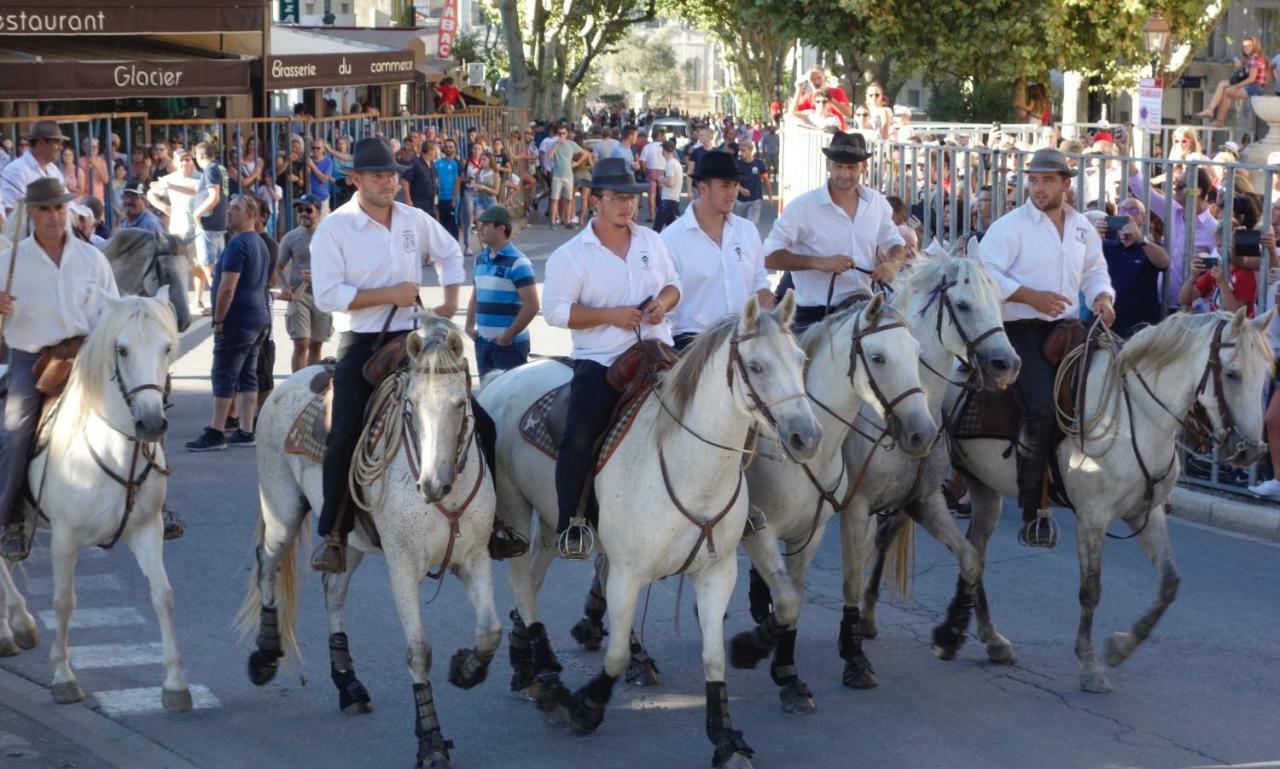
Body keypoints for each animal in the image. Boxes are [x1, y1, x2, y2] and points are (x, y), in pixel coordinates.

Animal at [0, 293, 189, 706]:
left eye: (167, 347)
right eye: (122, 349)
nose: (152, 424)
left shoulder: (147, 531)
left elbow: (164, 595)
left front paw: (175, 684)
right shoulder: (65, 539)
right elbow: (63, 602)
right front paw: (63, 677)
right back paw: (19, 624)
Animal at [240, 313, 499, 767]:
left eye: (459, 404)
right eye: (410, 407)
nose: (432, 485)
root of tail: (285, 386)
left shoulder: (475, 558)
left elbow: (490, 633)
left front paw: (466, 670)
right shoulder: (403, 567)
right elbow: (418, 651)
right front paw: (431, 741)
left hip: (349, 540)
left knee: (333, 590)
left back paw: (349, 684)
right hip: (282, 511)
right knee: (267, 562)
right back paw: (266, 656)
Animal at [481, 293, 819, 762]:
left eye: (800, 359)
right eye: (756, 366)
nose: (807, 437)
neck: (688, 466)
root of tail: (502, 377)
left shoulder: (717, 572)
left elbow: (717, 655)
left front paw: (726, 734)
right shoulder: (627, 574)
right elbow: (617, 655)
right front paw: (587, 707)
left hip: (551, 522)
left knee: (529, 581)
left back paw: (531, 667)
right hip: (514, 507)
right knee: (521, 583)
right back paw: (549, 682)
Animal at [942, 308, 1269, 690]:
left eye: (1266, 377)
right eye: (1232, 374)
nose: (1251, 451)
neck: (1134, 419)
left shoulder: (1146, 511)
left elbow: (1169, 583)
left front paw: (1120, 647)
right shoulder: (1093, 516)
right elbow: (1091, 589)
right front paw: (1090, 665)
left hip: (984, 488)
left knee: (974, 552)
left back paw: (990, 639)